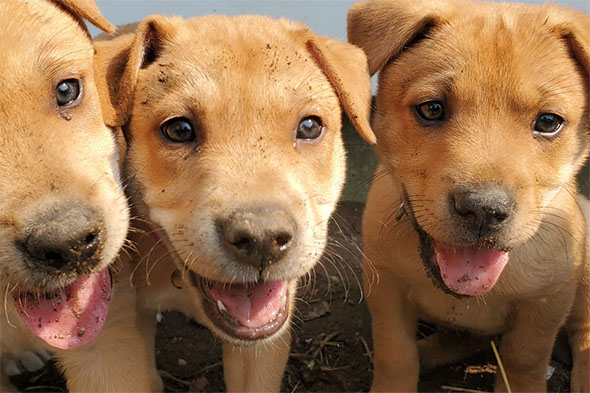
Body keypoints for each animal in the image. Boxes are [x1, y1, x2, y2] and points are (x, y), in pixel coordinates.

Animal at [350, 1, 590, 390]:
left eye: (549, 122)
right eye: (431, 108)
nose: (483, 210)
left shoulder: (546, 303)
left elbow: (524, 361)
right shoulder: (386, 288)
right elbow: (395, 354)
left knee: (583, 327)